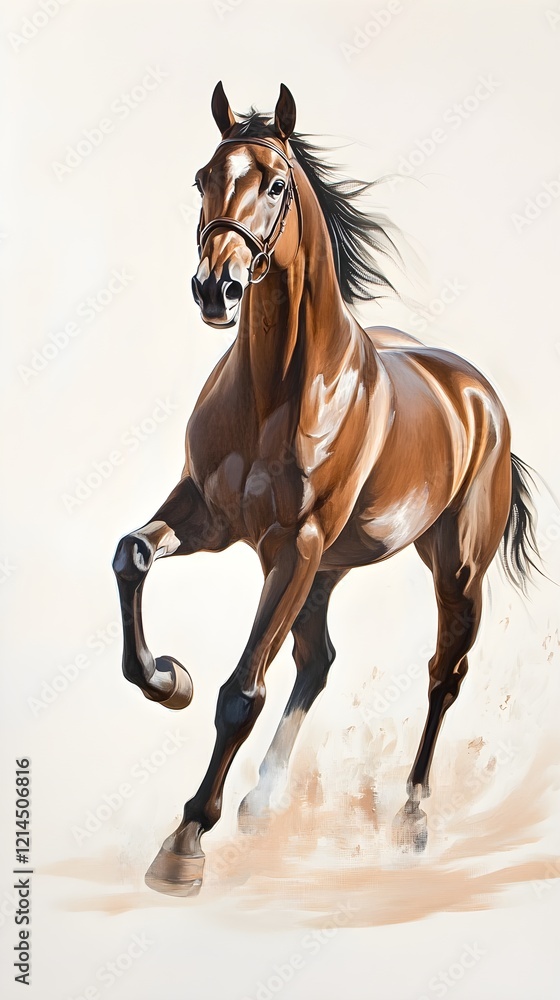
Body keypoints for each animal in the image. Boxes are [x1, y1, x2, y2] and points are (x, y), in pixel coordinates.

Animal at [112, 82, 540, 896]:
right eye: (202, 178)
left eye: (277, 184)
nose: (215, 289)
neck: (277, 390)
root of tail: (477, 395)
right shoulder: (208, 517)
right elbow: (132, 555)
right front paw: (167, 678)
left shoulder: (293, 544)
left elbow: (242, 692)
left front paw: (184, 844)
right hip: (326, 570)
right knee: (318, 659)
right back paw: (263, 800)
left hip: (449, 568)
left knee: (442, 675)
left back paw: (412, 821)